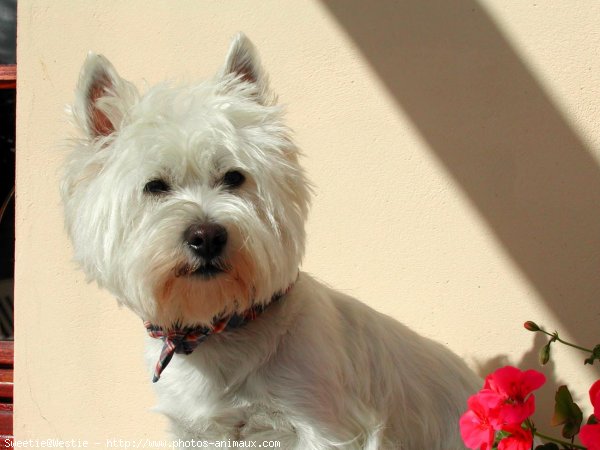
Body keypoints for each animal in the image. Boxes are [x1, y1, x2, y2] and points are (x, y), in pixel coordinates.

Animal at [61, 33, 480, 448]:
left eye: (234, 177)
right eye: (155, 186)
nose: (207, 236)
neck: (218, 333)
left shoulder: (321, 424)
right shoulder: (194, 429)